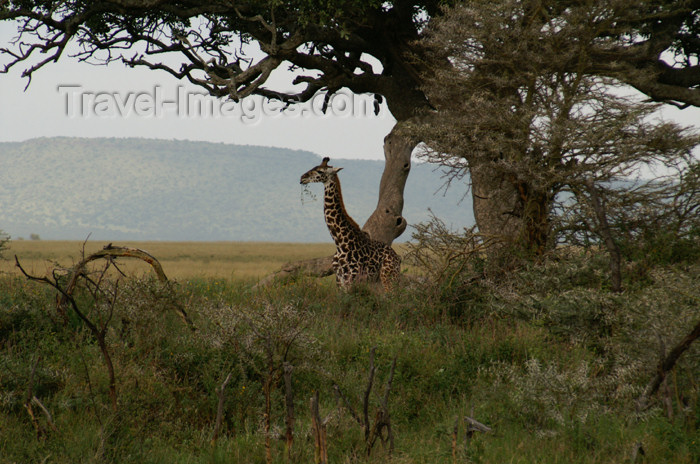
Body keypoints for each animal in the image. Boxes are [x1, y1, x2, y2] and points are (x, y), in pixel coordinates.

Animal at [300, 160, 400, 290]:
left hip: (389, 276)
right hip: (377, 279)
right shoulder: (339, 278)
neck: (339, 243)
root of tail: (397, 257)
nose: (302, 178)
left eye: (320, 171)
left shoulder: (352, 277)